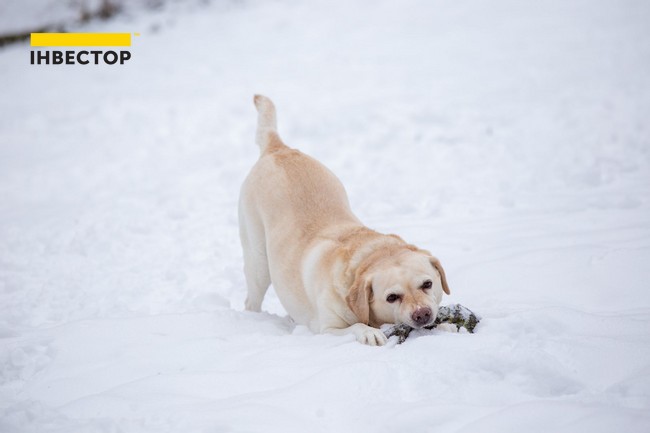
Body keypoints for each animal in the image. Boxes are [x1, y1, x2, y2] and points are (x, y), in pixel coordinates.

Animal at [239, 94, 450, 344]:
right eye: (392, 297)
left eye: (427, 284)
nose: (422, 314)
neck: (366, 257)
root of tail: (278, 148)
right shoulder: (327, 329)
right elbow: (355, 326)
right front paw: (369, 332)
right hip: (258, 262)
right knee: (251, 299)